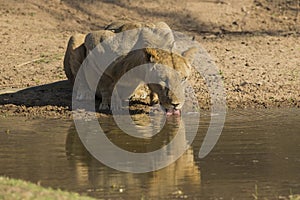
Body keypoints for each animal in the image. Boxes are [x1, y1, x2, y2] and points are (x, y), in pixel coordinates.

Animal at [63, 21, 196, 115]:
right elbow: (106, 82)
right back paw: (84, 92)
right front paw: (110, 103)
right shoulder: (95, 40)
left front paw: (154, 99)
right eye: (163, 79)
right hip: (75, 38)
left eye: (184, 78)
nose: (176, 104)